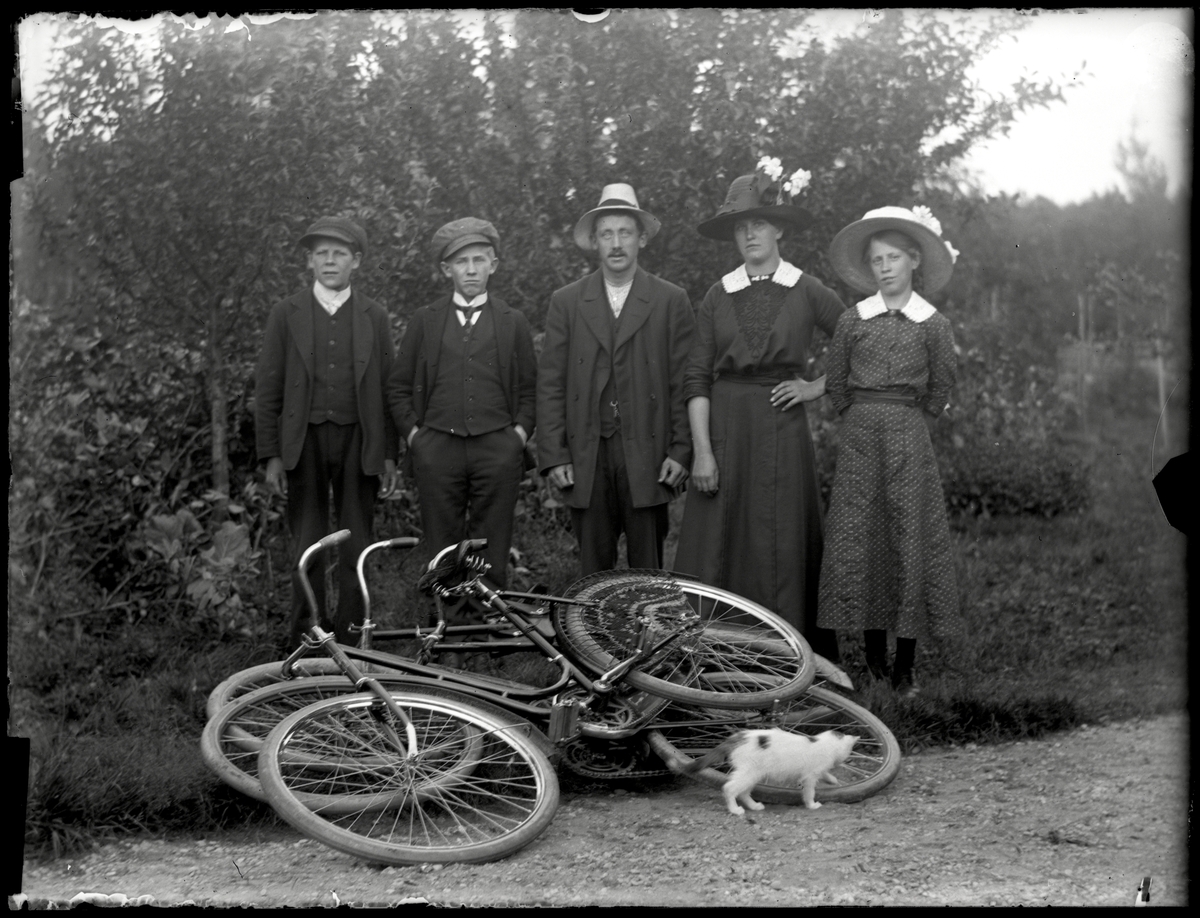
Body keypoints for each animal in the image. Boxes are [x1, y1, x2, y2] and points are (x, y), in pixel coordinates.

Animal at [681, 728, 858, 816]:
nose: (846, 760)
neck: (821, 742)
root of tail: (738, 737)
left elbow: (825, 774)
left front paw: (832, 779)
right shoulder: (810, 775)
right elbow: (810, 792)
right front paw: (812, 805)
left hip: (754, 773)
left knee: (743, 792)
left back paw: (754, 806)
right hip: (750, 771)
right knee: (729, 788)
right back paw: (735, 810)